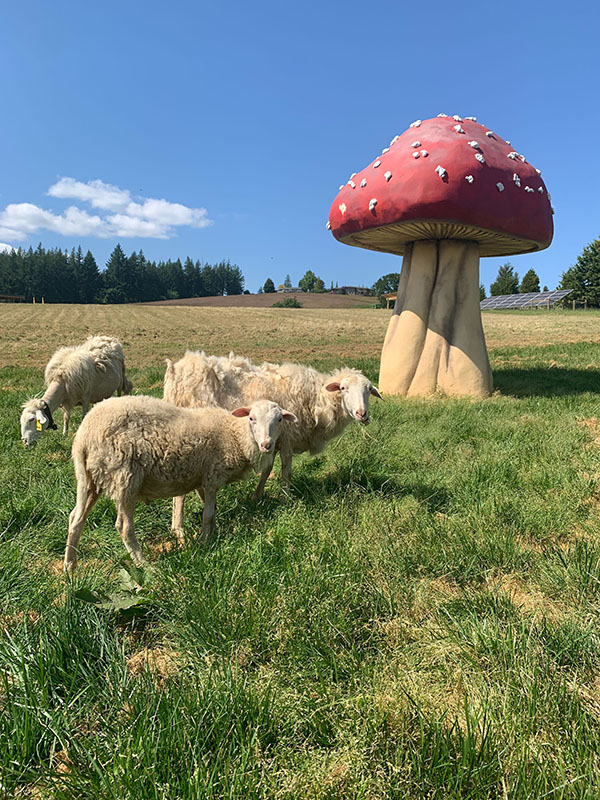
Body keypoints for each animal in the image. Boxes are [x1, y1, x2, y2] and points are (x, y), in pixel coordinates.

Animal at [64, 395, 297, 570]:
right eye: (251, 418)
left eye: (279, 420)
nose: (267, 445)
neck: (234, 435)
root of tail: (83, 435)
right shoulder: (212, 475)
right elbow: (208, 513)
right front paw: (204, 543)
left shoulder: (203, 480)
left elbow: (212, 511)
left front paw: (213, 534)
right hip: (124, 477)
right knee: (123, 526)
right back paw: (144, 564)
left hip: (93, 479)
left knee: (75, 518)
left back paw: (70, 566)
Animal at [164, 351, 382, 533]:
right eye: (344, 388)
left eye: (369, 390)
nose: (362, 414)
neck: (316, 399)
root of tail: (175, 372)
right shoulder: (287, 438)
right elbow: (286, 471)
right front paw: (286, 499)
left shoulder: (272, 440)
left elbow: (267, 469)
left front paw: (257, 497)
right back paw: (178, 529)